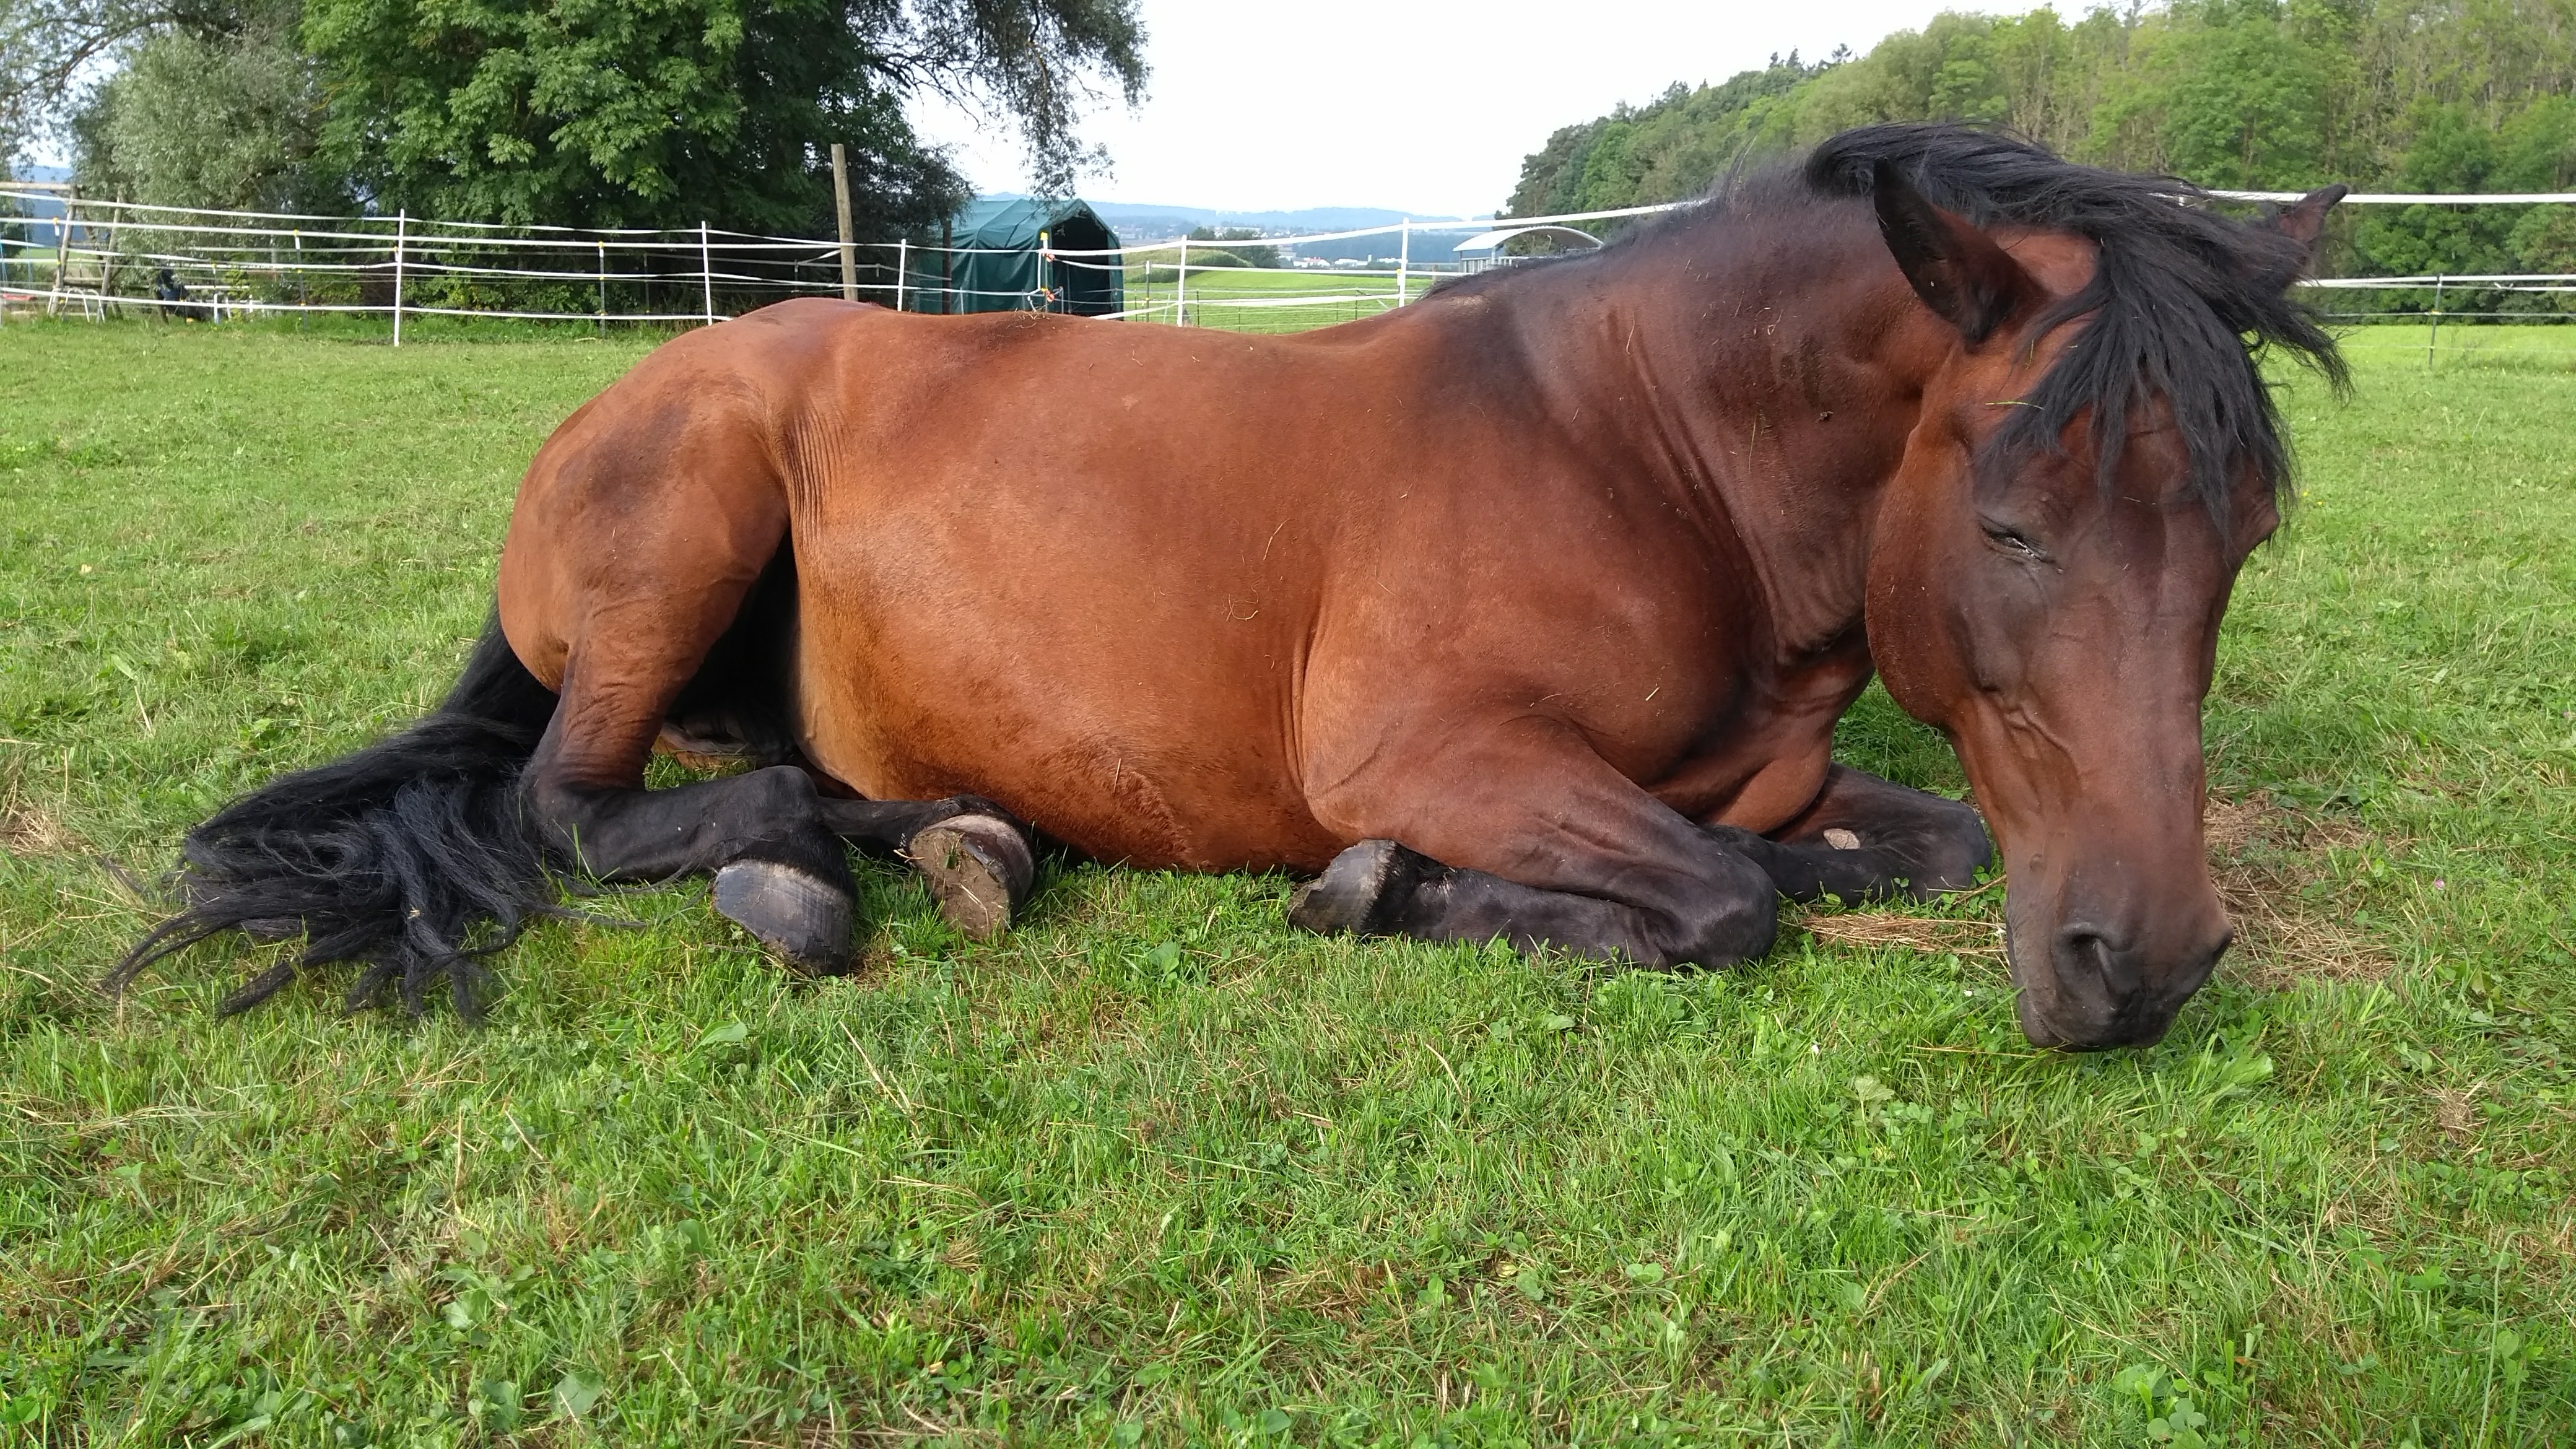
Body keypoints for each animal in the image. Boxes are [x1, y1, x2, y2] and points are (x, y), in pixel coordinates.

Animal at [110, 127, 2349, 1046]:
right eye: (2017, 526)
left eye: (2240, 539)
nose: (2144, 967)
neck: (1641, 456)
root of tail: (620, 392)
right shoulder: (1429, 748)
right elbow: (1719, 904)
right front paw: (1399, 892)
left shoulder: (1774, 771)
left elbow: (1892, 846)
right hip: (694, 520)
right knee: (575, 807)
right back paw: (809, 868)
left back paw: (943, 837)